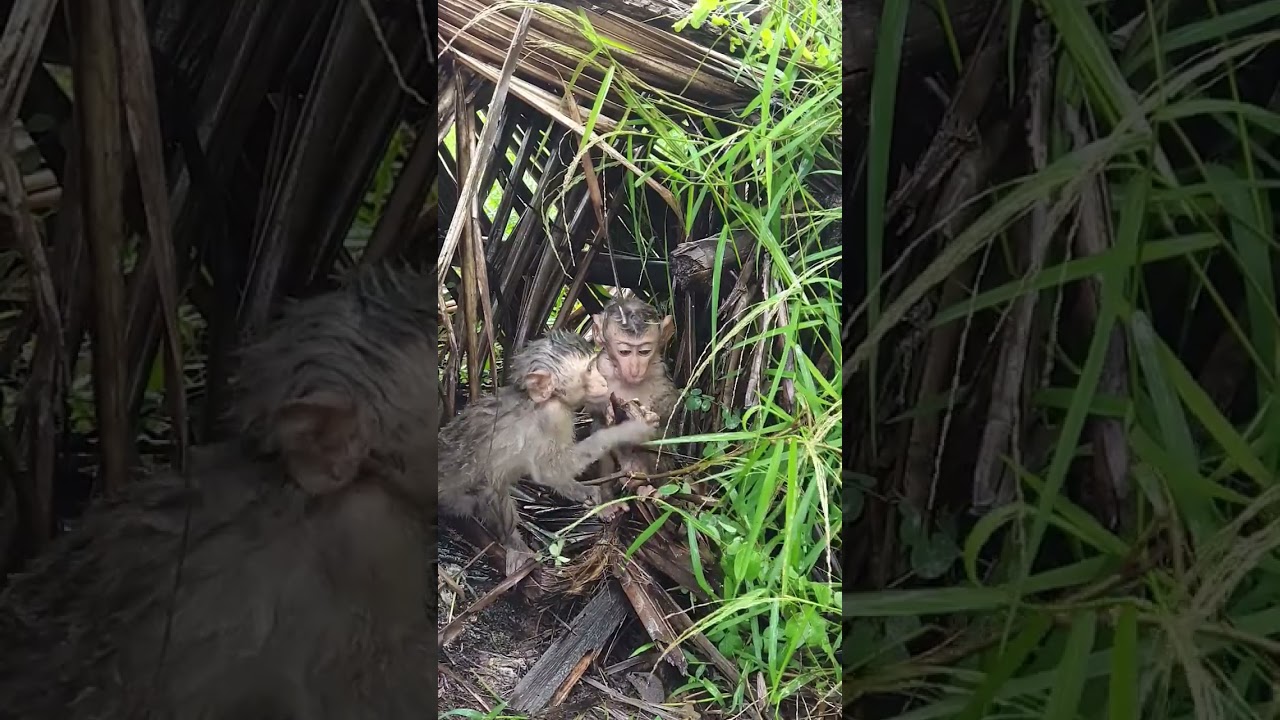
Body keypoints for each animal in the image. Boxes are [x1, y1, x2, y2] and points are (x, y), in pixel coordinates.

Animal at [437, 330, 659, 577]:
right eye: (589, 370)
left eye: (594, 366)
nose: (603, 381)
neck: (542, 399)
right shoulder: (554, 416)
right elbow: (549, 471)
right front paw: (628, 430)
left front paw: (594, 497)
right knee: (490, 486)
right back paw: (514, 544)